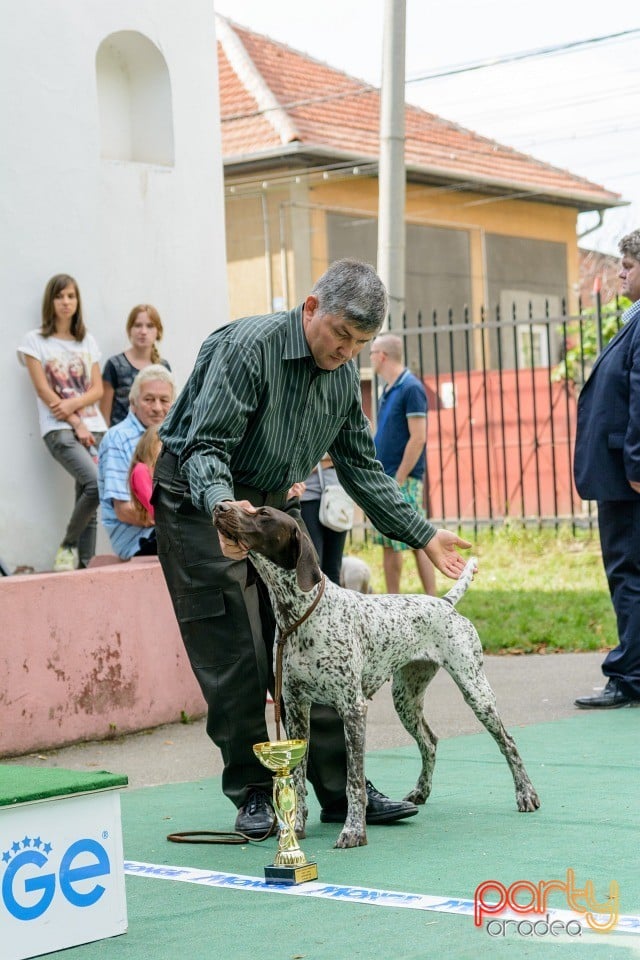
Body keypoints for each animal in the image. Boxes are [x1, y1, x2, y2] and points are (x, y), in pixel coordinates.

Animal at [212, 502, 536, 848]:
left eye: (262, 513)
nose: (219, 506)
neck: (298, 615)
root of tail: (445, 603)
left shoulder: (352, 708)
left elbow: (353, 779)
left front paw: (354, 830)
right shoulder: (296, 708)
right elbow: (297, 779)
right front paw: (294, 829)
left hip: (475, 690)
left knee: (508, 743)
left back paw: (526, 794)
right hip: (406, 699)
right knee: (430, 741)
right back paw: (420, 792)